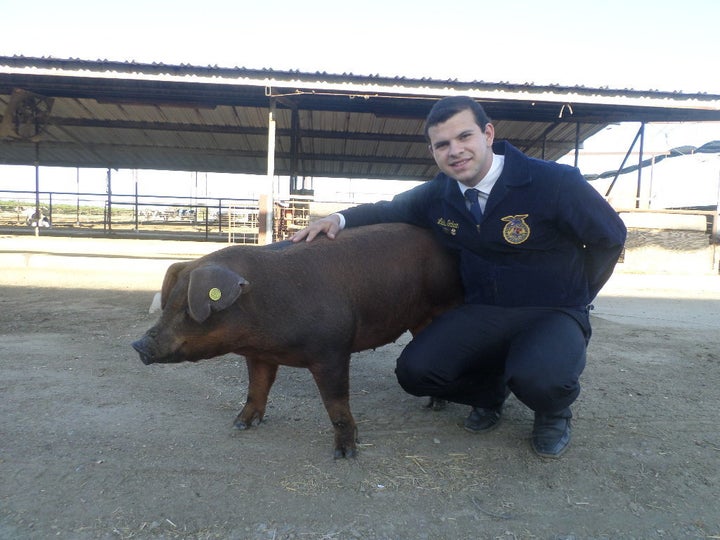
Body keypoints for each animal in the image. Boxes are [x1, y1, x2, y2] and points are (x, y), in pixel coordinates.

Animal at [132, 221, 462, 458]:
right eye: (169, 304)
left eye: (187, 308)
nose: (138, 345)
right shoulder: (258, 355)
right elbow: (256, 388)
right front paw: (240, 424)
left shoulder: (333, 352)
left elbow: (336, 404)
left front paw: (344, 454)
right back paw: (434, 404)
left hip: (444, 304)